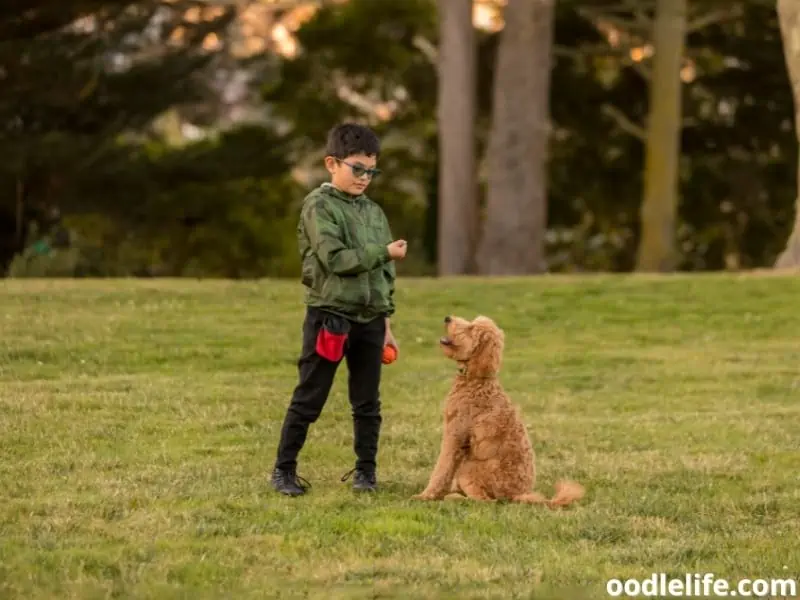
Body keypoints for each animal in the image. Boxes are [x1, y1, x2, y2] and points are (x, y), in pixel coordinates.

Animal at [416, 314, 584, 506]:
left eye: (471, 329)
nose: (447, 318)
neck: (476, 381)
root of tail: (517, 495)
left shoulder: (455, 434)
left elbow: (441, 469)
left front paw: (425, 496)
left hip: (469, 469)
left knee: (485, 500)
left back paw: (454, 498)